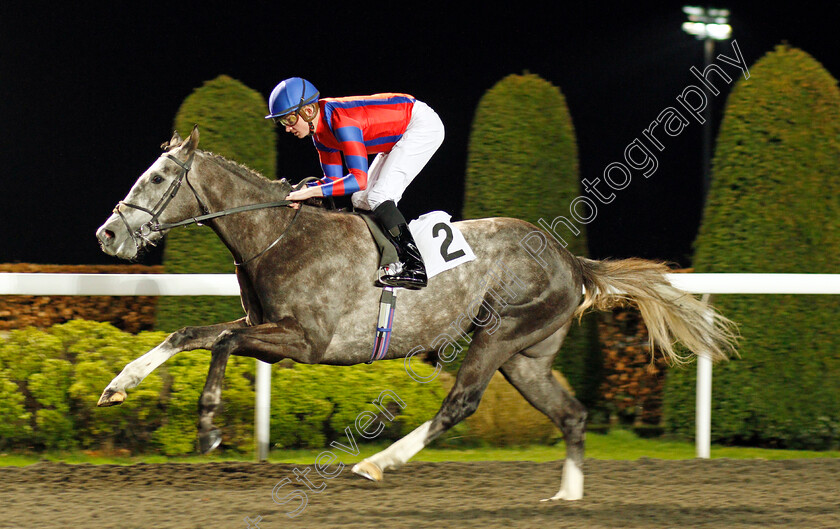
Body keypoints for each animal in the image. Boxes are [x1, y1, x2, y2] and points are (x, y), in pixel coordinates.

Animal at [93, 127, 736, 500]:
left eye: (158, 177)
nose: (108, 234)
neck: (279, 236)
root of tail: (571, 260)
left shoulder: (307, 343)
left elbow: (221, 339)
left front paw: (207, 425)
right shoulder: (272, 332)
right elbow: (191, 332)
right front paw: (119, 386)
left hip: (498, 334)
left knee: (460, 404)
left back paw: (379, 462)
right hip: (525, 357)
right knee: (572, 416)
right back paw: (566, 500)